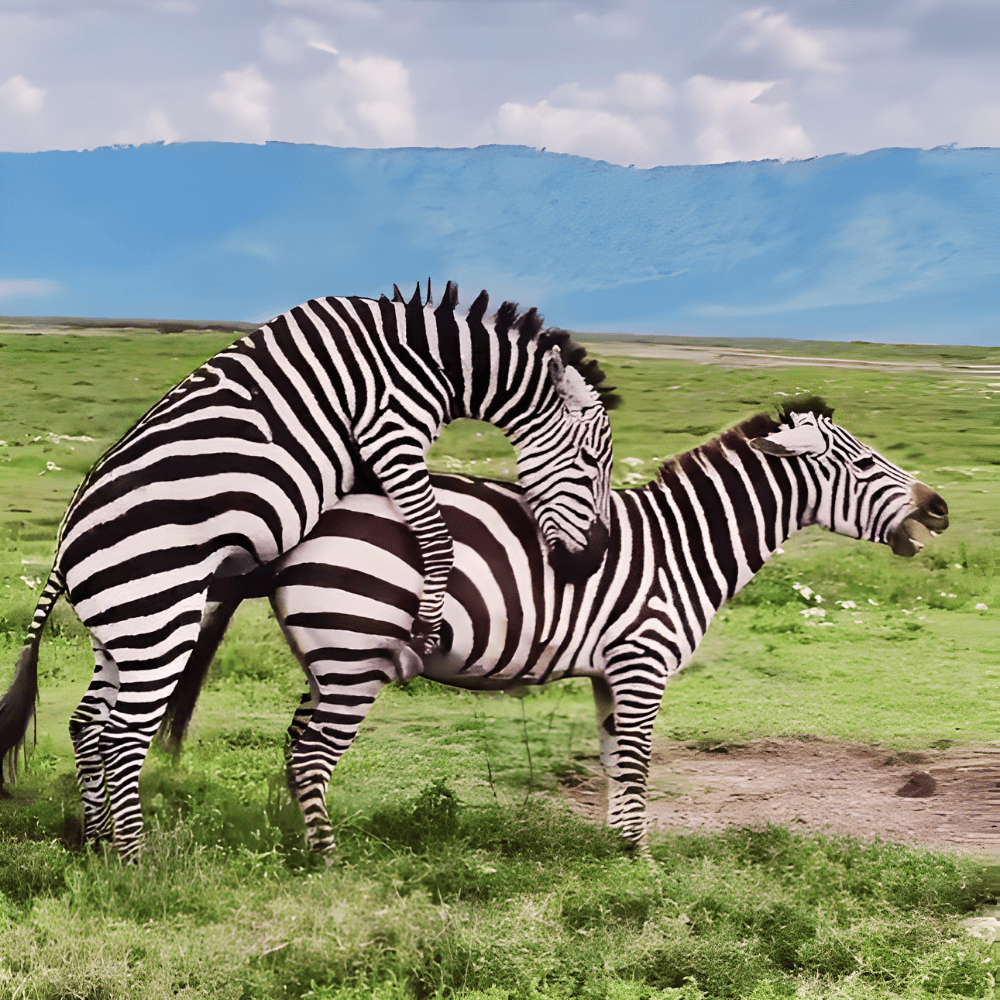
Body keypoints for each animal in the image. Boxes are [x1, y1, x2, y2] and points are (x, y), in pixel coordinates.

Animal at [0, 281, 618, 858]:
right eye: (591, 464)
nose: (593, 558)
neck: (430, 355)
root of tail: (62, 554)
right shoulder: (391, 433)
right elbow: (436, 536)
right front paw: (426, 626)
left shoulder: (371, 456)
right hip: (159, 622)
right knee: (124, 736)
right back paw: (134, 858)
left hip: (120, 631)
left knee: (87, 725)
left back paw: (97, 839)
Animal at [162, 398, 949, 852]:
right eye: (867, 464)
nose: (939, 508)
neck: (683, 545)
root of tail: (298, 528)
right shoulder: (643, 661)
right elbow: (636, 761)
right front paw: (638, 860)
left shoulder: (613, 670)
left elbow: (612, 759)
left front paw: (618, 848)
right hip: (357, 648)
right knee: (312, 750)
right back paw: (328, 856)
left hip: (330, 652)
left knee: (296, 741)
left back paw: (297, 835)